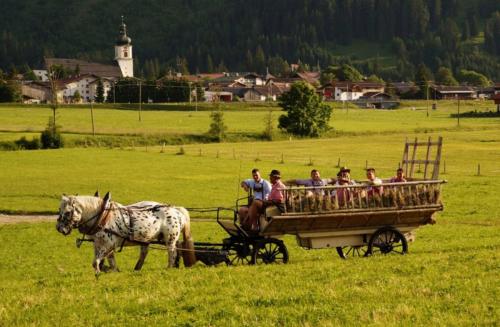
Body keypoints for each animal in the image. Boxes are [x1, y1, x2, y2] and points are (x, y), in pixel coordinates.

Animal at [55, 193, 195, 276]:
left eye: (68, 212)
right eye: (59, 209)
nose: (59, 228)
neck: (103, 216)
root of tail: (176, 210)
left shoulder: (107, 244)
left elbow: (96, 262)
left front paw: (99, 273)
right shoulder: (100, 244)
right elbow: (108, 260)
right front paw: (112, 271)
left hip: (170, 239)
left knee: (172, 252)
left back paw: (169, 267)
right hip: (147, 238)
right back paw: (138, 269)